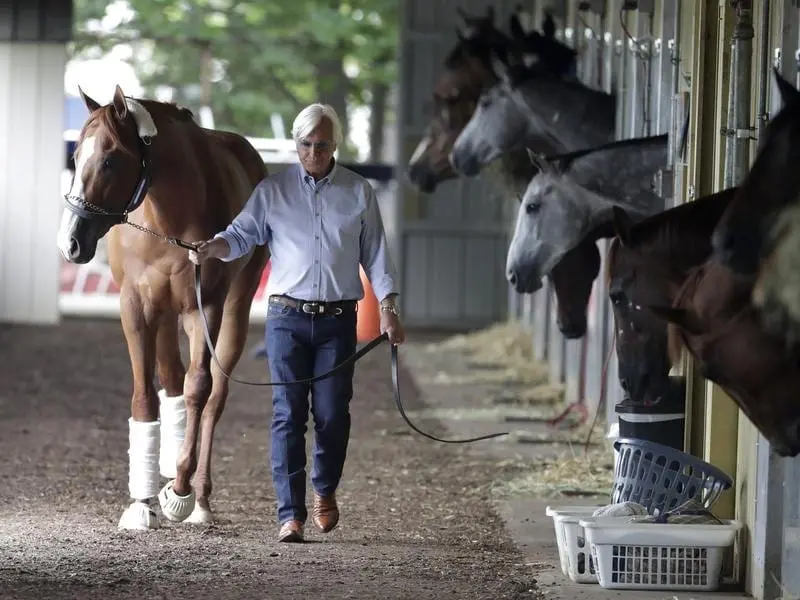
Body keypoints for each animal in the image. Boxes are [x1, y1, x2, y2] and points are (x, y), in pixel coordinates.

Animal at [57, 85, 268, 528]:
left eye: (109, 160)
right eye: (76, 156)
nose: (70, 243)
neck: (168, 219)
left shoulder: (205, 308)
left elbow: (199, 388)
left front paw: (181, 489)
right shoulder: (135, 308)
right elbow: (145, 396)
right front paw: (141, 503)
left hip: (232, 311)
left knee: (213, 395)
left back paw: (199, 498)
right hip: (167, 316)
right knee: (171, 380)